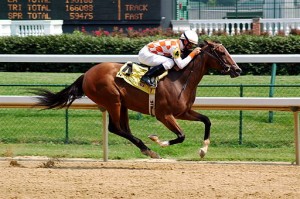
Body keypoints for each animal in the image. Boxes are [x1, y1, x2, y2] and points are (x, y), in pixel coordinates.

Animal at [34, 40, 243, 159]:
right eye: (221, 52)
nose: (238, 69)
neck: (181, 78)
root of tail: (86, 74)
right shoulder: (164, 115)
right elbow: (181, 136)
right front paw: (157, 140)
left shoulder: (183, 112)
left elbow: (207, 120)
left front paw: (203, 150)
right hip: (113, 100)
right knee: (115, 128)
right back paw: (149, 149)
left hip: (122, 104)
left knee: (123, 129)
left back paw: (146, 149)